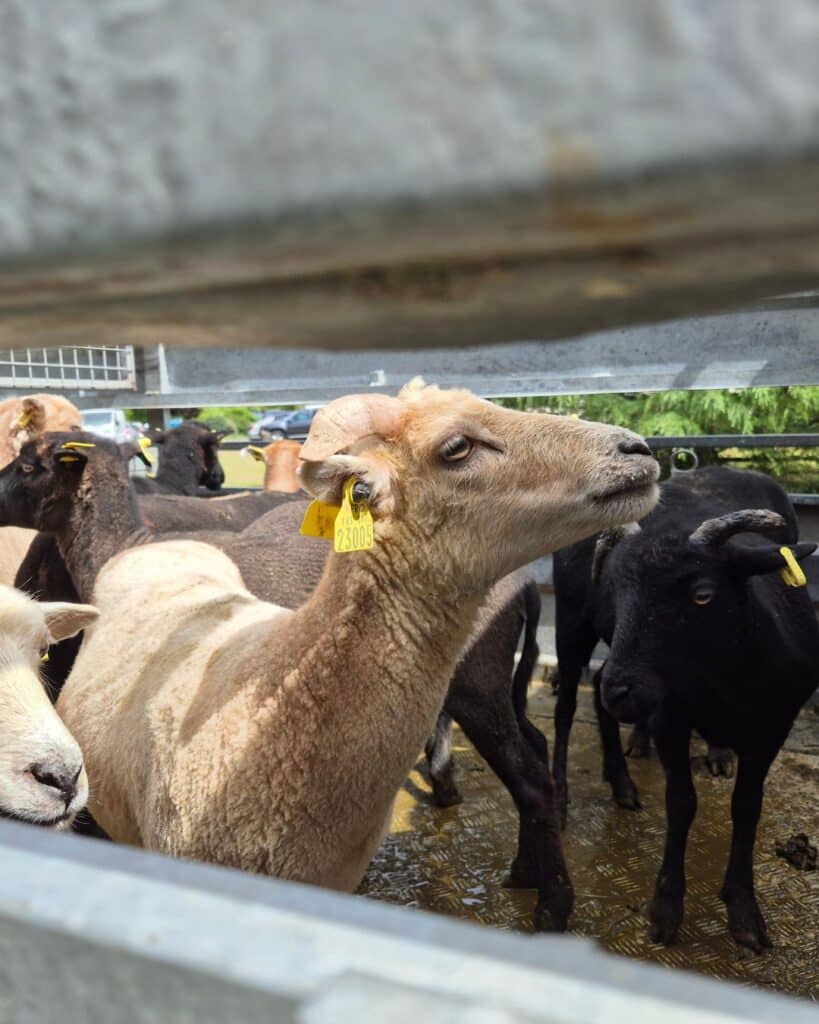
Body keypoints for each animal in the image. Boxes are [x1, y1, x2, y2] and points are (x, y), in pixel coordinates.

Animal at [552, 468, 814, 946]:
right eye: (614, 589)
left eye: (703, 594)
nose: (622, 690)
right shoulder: (669, 718)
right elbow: (681, 804)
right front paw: (666, 909)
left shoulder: (774, 726)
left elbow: (747, 807)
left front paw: (744, 910)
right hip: (572, 621)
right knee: (565, 708)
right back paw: (562, 797)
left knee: (594, 687)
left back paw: (624, 779)